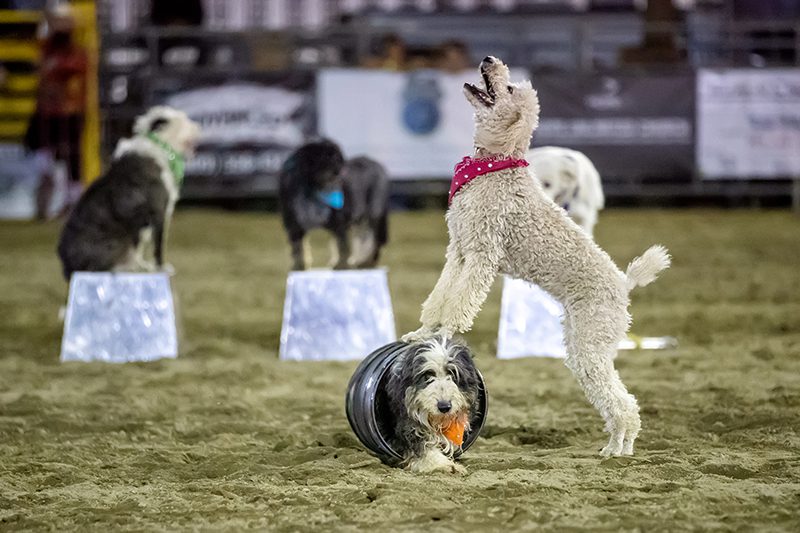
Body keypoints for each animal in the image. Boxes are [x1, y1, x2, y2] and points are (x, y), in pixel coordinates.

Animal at [56, 104, 200, 278]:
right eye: (184, 120)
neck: (160, 146)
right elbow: (159, 245)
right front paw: (161, 268)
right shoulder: (159, 212)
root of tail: (67, 266)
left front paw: (143, 265)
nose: (199, 127)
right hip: (115, 243)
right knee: (94, 271)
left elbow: (141, 246)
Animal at [280, 139, 390, 270]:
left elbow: (342, 247)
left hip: (373, 213)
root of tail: (376, 164)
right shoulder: (294, 226)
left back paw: (366, 263)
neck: (314, 191)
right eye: (324, 158)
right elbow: (297, 250)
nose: (341, 172)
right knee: (364, 237)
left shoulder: (339, 223)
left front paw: (341, 266)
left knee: (372, 239)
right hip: (360, 218)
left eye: (338, 158)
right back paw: (361, 261)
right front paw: (298, 267)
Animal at [386, 336, 482, 474]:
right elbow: (422, 447)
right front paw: (446, 465)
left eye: (453, 373)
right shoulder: (407, 427)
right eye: (427, 375)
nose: (444, 407)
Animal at [404, 57, 672, 458]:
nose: (489, 60)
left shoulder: (482, 254)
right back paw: (616, 446)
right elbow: (440, 297)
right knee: (617, 397)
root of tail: (624, 284)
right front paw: (422, 333)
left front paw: (445, 336)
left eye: (509, 89)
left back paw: (617, 448)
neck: (495, 165)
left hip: (591, 342)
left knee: (623, 403)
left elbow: (460, 304)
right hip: (583, 346)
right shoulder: (459, 251)